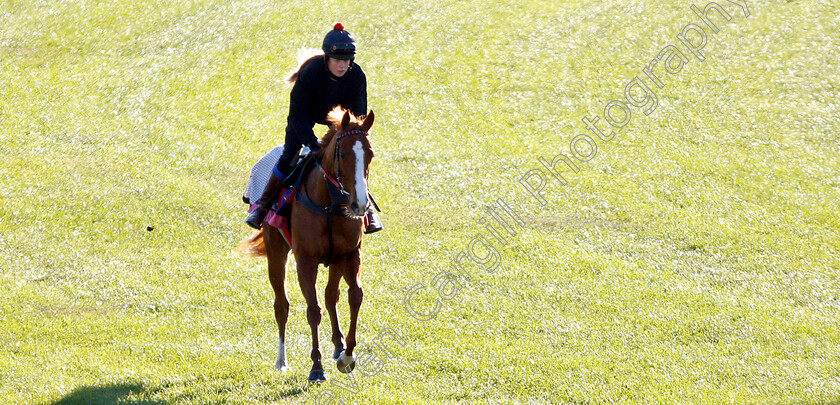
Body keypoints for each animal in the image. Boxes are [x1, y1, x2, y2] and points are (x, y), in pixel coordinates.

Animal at [236, 105, 374, 380]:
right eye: (342, 153)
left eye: (370, 155)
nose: (360, 205)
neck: (329, 204)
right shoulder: (305, 261)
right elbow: (313, 310)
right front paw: (316, 367)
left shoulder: (350, 254)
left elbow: (354, 296)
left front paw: (347, 355)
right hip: (276, 252)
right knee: (282, 305)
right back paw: (281, 360)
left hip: (335, 260)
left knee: (332, 295)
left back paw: (337, 346)